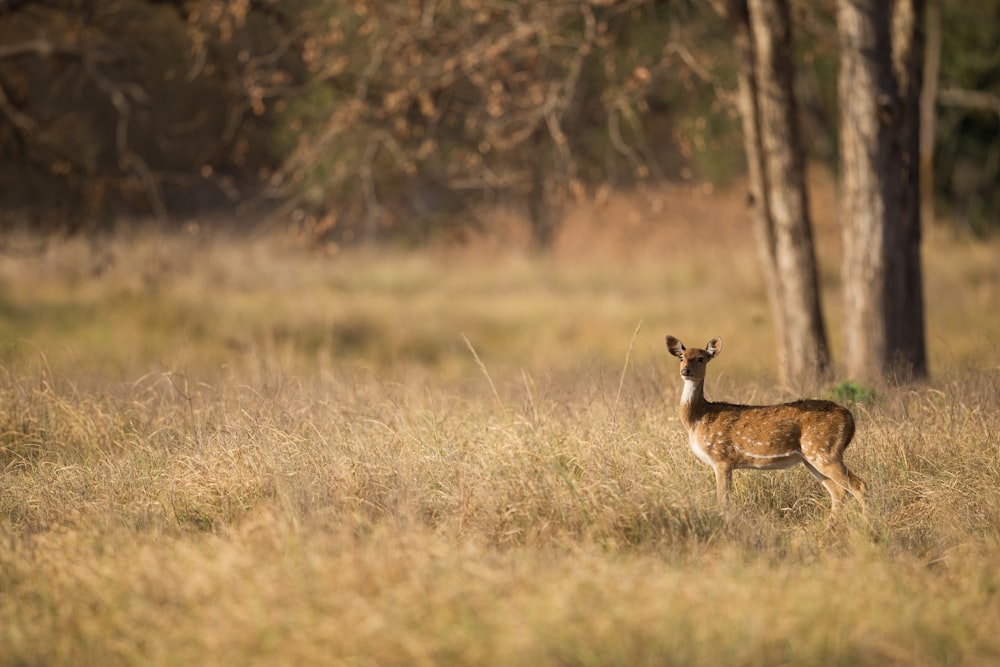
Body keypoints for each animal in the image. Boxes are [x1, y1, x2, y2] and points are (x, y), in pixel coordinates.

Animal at [664, 336, 868, 516]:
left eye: (701, 358)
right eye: (681, 357)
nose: (685, 371)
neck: (698, 419)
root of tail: (850, 419)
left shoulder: (722, 458)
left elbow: (724, 501)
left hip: (824, 450)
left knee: (859, 486)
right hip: (811, 457)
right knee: (838, 491)